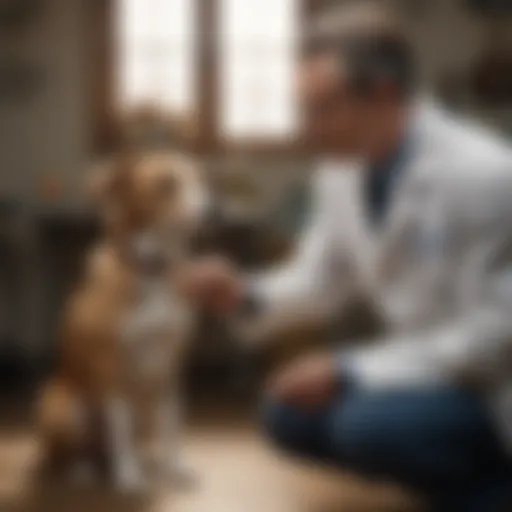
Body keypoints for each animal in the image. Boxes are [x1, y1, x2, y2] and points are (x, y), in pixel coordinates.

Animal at [37, 151, 210, 492]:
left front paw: (175, 467)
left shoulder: (170, 368)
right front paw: (128, 476)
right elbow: (121, 427)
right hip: (60, 406)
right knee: (66, 455)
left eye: (199, 179)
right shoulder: (112, 369)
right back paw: (82, 472)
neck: (153, 270)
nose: (216, 210)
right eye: (166, 184)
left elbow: (173, 425)